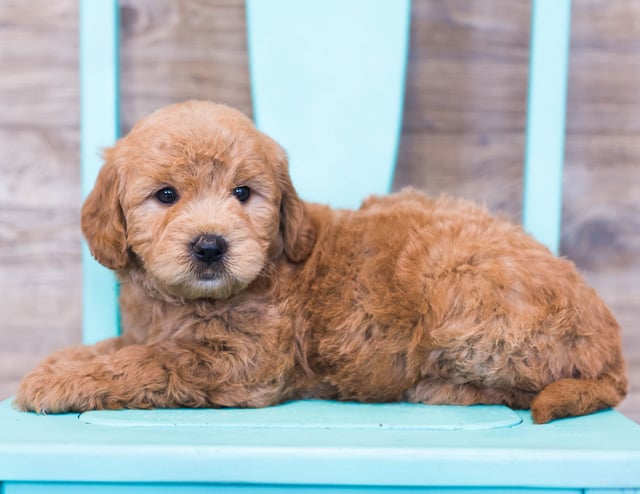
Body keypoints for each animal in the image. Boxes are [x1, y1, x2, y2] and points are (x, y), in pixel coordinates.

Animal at [13, 98, 624, 422]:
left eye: (243, 194)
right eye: (166, 195)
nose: (210, 246)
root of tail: (610, 345)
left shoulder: (243, 361)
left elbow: (149, 362)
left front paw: (57, 382)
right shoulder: (154, 328)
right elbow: (123, 345)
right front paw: (63, 359)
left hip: (454, 286)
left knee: (518, 384)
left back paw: (435, 388)